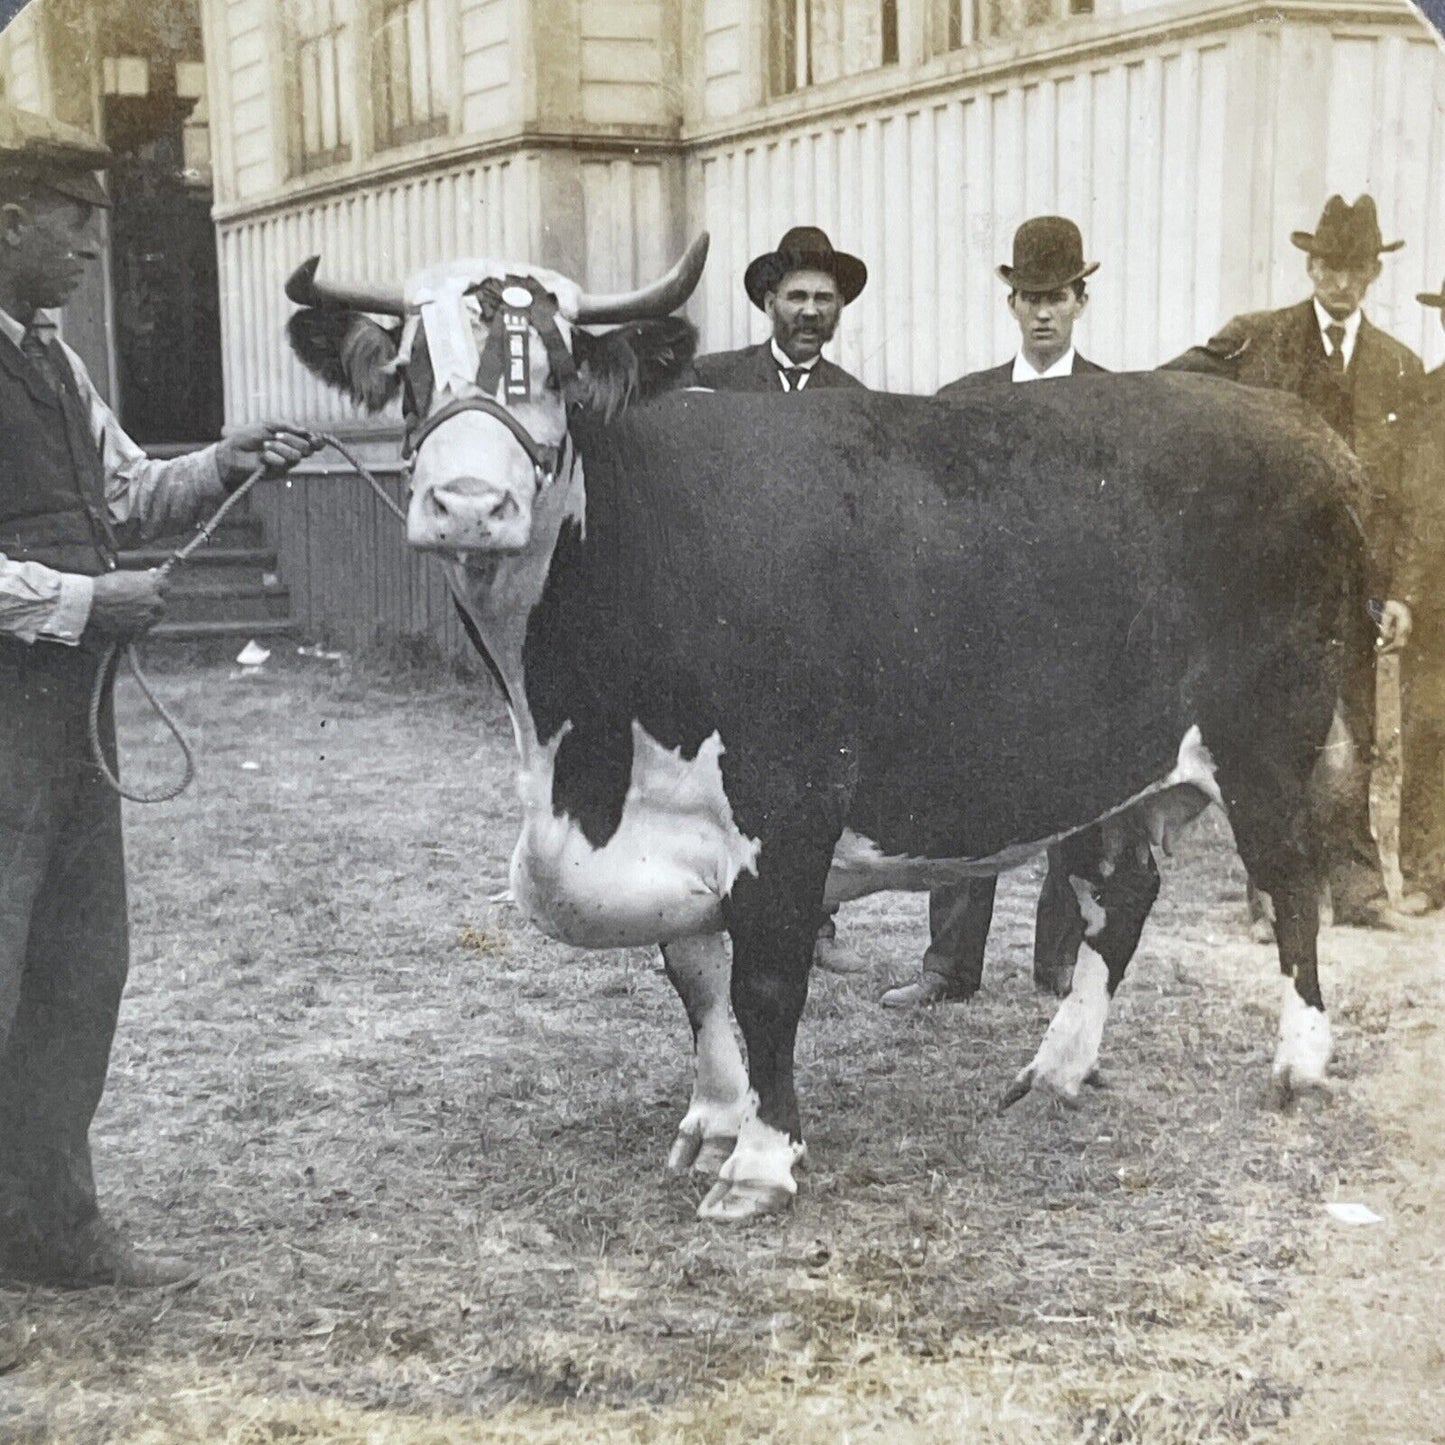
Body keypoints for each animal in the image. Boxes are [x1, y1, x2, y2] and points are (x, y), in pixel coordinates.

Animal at [284, 236, 1364, 1219]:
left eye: (558, 370)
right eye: (411, 376)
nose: (469, 504)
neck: (573, 751)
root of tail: (1301, 423)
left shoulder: (788, 803)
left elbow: (766, 983)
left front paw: (762, 1159)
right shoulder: (681, 819)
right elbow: (694, 975)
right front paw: (714, 1117)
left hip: (1271, 732)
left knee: (1290, 876)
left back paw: (1298, 1060)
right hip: (1121, 762)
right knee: (1123, 894)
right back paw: (1055, 1066)